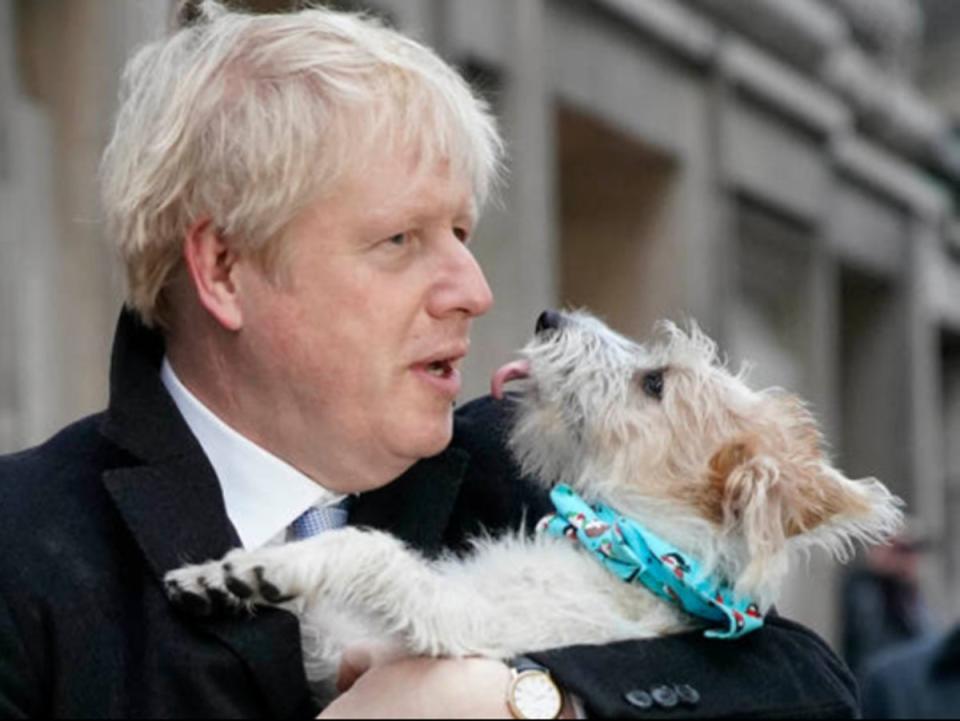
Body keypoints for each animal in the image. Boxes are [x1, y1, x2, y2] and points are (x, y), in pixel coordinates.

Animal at [161, 310, 904, 692]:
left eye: (654, 383)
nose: (549, 315)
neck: (626, 548)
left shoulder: (460, 626)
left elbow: (368, 552)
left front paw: (252, 572)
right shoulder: (356, 638)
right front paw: (225, 574)